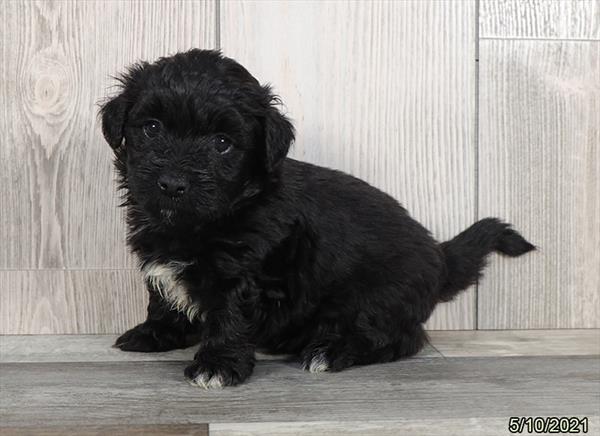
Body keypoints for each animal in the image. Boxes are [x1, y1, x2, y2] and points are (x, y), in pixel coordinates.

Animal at [99, 49, 536, 386]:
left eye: (222, 143)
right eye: (151, 128)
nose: (172, 184)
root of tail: (440, 254)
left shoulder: (241, 272)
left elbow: (229, 315)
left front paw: (218, 365)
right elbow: (161, 299)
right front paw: (155, 333)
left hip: (378, 296)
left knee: (398, 337)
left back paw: (328, 350)